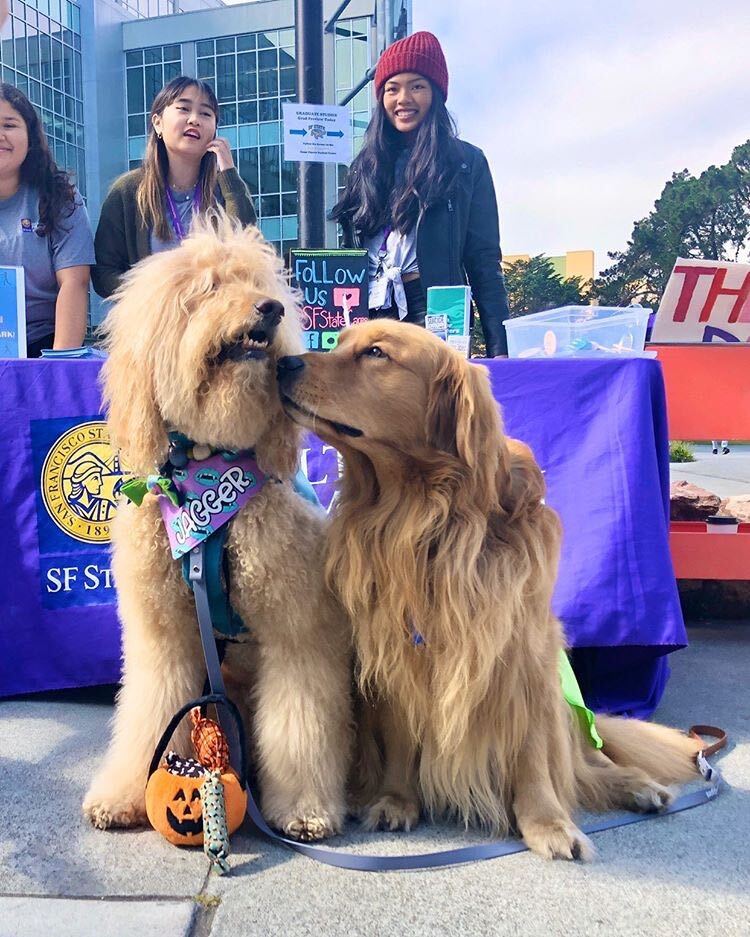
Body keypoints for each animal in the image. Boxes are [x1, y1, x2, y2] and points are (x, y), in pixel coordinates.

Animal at [83, 219, 354, 840]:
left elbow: (300, 725)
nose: (270, 309)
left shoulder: (296, 632)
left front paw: (303, 809)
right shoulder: (164, 636)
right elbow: (152, 716)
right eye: (208, 288)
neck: (211, 465)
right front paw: (124, 795)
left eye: (259, 283)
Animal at [278, 320, 704, 856]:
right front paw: (397, 799)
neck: (423, 517)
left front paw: (547, 822)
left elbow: (532, 757)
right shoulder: (397, 654)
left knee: (586, 764)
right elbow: (400, 737)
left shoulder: (523, 659)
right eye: (341, 342)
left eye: (375, 353)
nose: (281, 363)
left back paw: (636, 785)